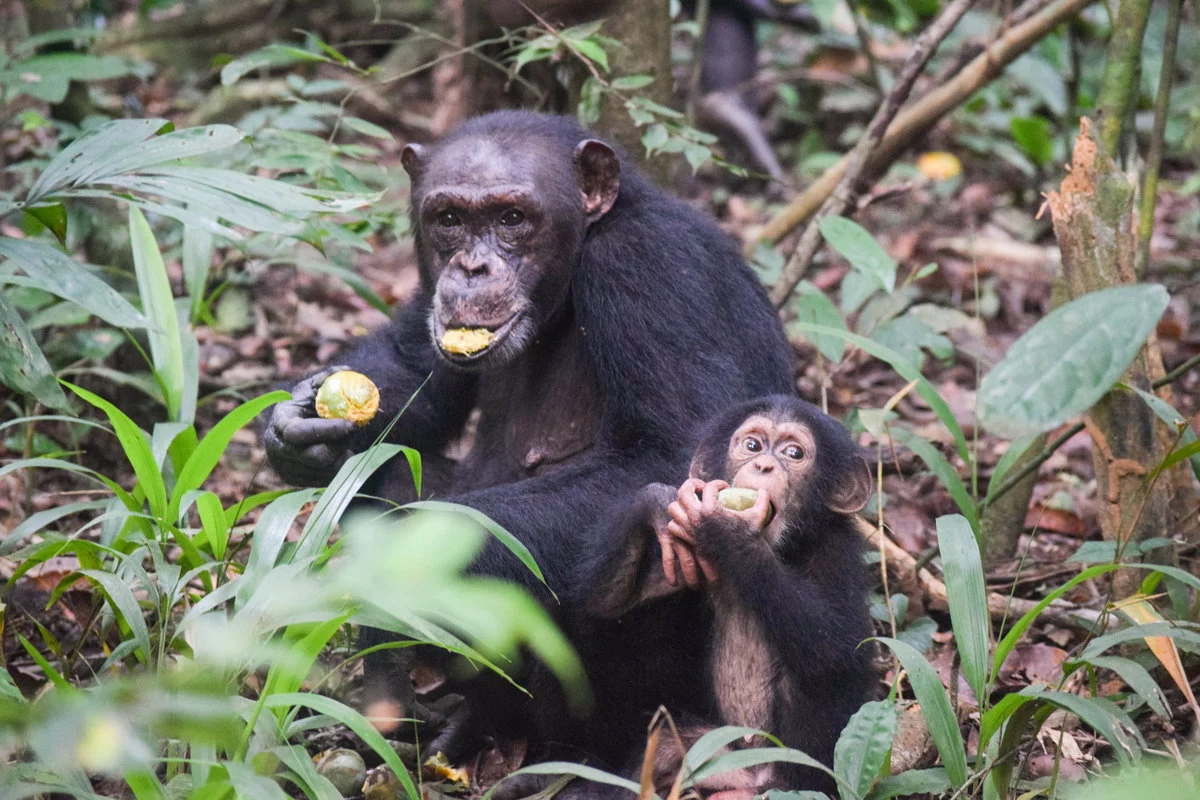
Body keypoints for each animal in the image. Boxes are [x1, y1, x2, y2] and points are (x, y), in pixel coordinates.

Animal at [267, 113, 801, 758]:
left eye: (512, 218)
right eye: (449, 220)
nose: (472, 268)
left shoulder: (651, 269)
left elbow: (678, 457)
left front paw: (400, 560)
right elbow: (416, 372)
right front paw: (302, 425)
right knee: (393, 465)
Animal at [583, 395, 873, 800]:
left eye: (794, 453)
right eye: (751, 445)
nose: (764, 464)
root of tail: (749, 776)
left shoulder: (838, 551)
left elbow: (834, 643)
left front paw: (729, 529)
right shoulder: (685, 557)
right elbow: (607, 604)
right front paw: (658, 502)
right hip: (714, 750)